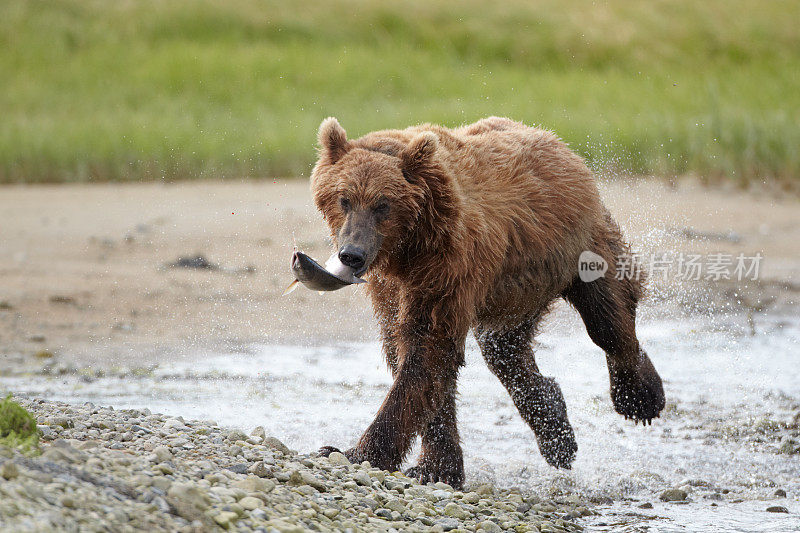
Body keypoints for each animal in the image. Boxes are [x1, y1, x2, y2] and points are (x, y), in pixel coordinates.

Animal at [310, 116, 664, 486]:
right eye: (344, 199)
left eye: (383, 204)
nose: (352, 254)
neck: (407, 249)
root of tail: (559, 143)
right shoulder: (391, 286)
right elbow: (408, 350)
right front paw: (435, 467)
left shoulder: (446, 267)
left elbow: (426, 349)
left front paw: (357, 452)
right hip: (517, 287)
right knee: (503, 348)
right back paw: (555, 429)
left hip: (579, 249)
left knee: (607, 319)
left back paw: (640, 397)